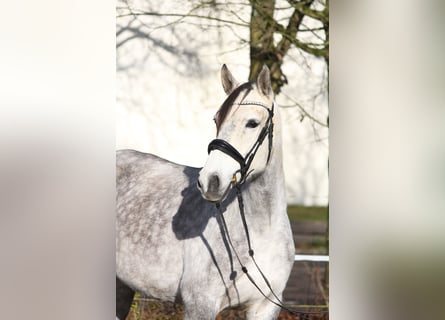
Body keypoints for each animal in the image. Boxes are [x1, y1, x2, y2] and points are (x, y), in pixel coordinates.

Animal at [116, 65, 294, 320]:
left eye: (252, 123)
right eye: (217, 119)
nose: (211, 180)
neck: (261, 229)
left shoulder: (265, 306)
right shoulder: (200, 305)